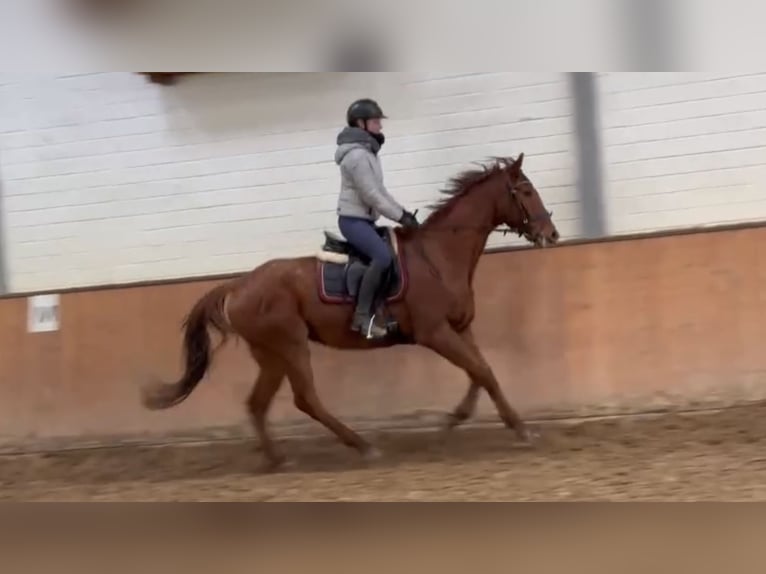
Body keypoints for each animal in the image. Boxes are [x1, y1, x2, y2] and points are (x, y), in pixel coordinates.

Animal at [142, 154, 564, 472]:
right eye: (526, 191)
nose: (552, 234)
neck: (439, 256)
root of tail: (238, 285)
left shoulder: (460, 328)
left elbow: (482, 372)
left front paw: (462, 420)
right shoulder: (435, 333)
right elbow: (480, 371)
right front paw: (515, 429)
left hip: (271, 355)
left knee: (258, 404)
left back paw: (279, 459)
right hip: (291, 345)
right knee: (306, 399)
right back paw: (363, 447)